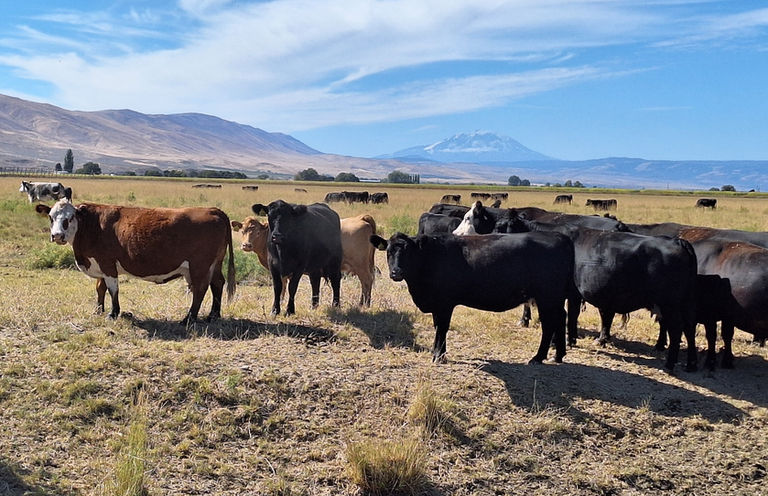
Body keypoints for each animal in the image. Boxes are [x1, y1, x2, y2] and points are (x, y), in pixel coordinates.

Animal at [34, 199, 235, 324]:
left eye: (69, 218)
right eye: (51, 217)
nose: (57, 235)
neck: (90, 225)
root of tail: (213, 210)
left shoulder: (108, 265)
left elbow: (113, 290)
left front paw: (113, 313)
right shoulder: (100, 265)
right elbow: (100, 288)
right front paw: (98, 310)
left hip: (199, 266)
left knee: (200, 290)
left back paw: (189, 319)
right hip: (215, 264)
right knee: (218, 284)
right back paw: (213, 315)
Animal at [370, 231, 577, 364]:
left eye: (408, 252)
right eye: (388, 251)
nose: (396, 272)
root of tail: (560, 236)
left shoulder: (444, 304)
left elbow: (442, 328)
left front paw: (438, 356)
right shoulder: (437, 305)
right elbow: (438, 327)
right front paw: (440, 353)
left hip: (547, 297)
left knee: (549, 324)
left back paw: (538, 357)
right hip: (554, 298)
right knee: (561, 317)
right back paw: (558, 355)